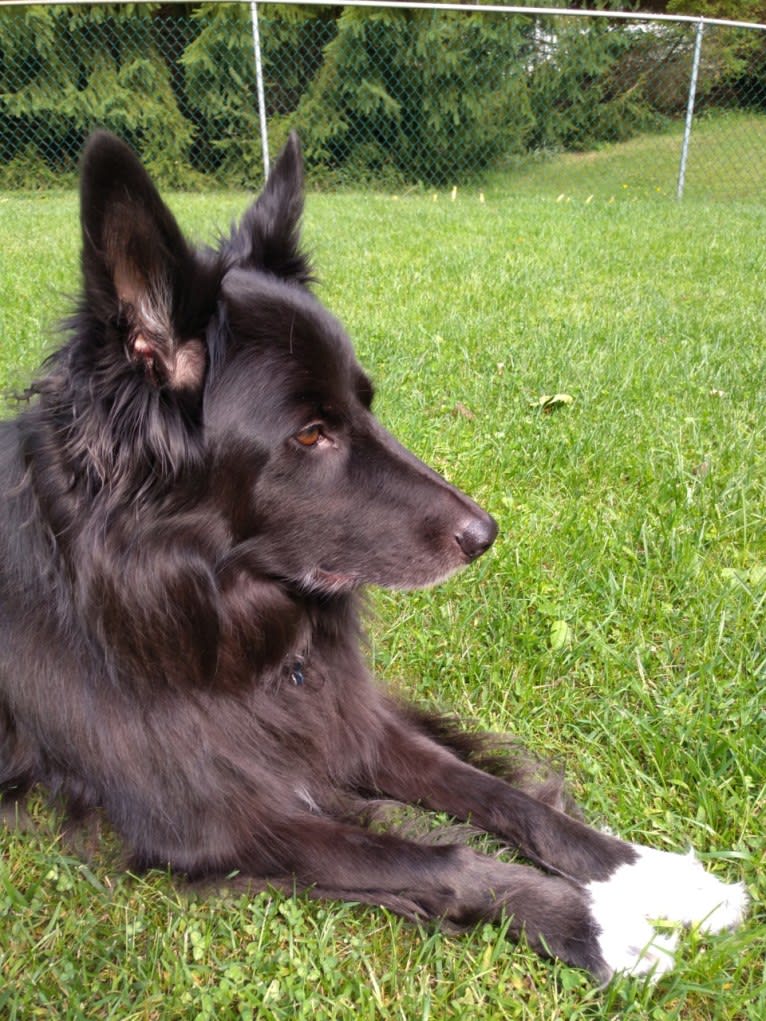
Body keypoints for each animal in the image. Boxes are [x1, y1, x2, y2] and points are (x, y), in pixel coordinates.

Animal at [0, 133, 743, 980]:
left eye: (366, 403)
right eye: (310, 433)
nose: (485, 533)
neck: (200, 609)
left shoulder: (347, 718)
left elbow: (496, 791)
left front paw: (650, 875)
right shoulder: (213, 815)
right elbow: (446, 860)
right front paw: (598, 923)